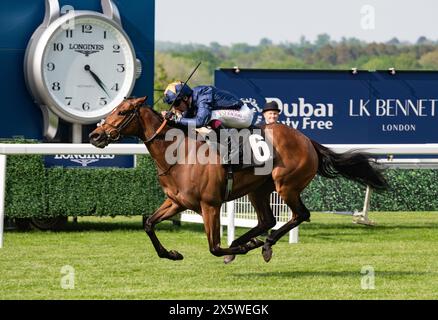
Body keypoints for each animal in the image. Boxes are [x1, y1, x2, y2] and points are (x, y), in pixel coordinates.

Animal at [88, 97, 386, 262]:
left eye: (123, 112)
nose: (95, 135)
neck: (180, 153)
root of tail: (308, 140)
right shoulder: (176, 202)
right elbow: (149, 224)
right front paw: (171, 254)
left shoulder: (210, 204)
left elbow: (213, 247)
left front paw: (241, 248)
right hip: (259, 190)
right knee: (267, 220)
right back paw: (247, 243)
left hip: (286, 185)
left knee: (299, 215)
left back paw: (263, 244)